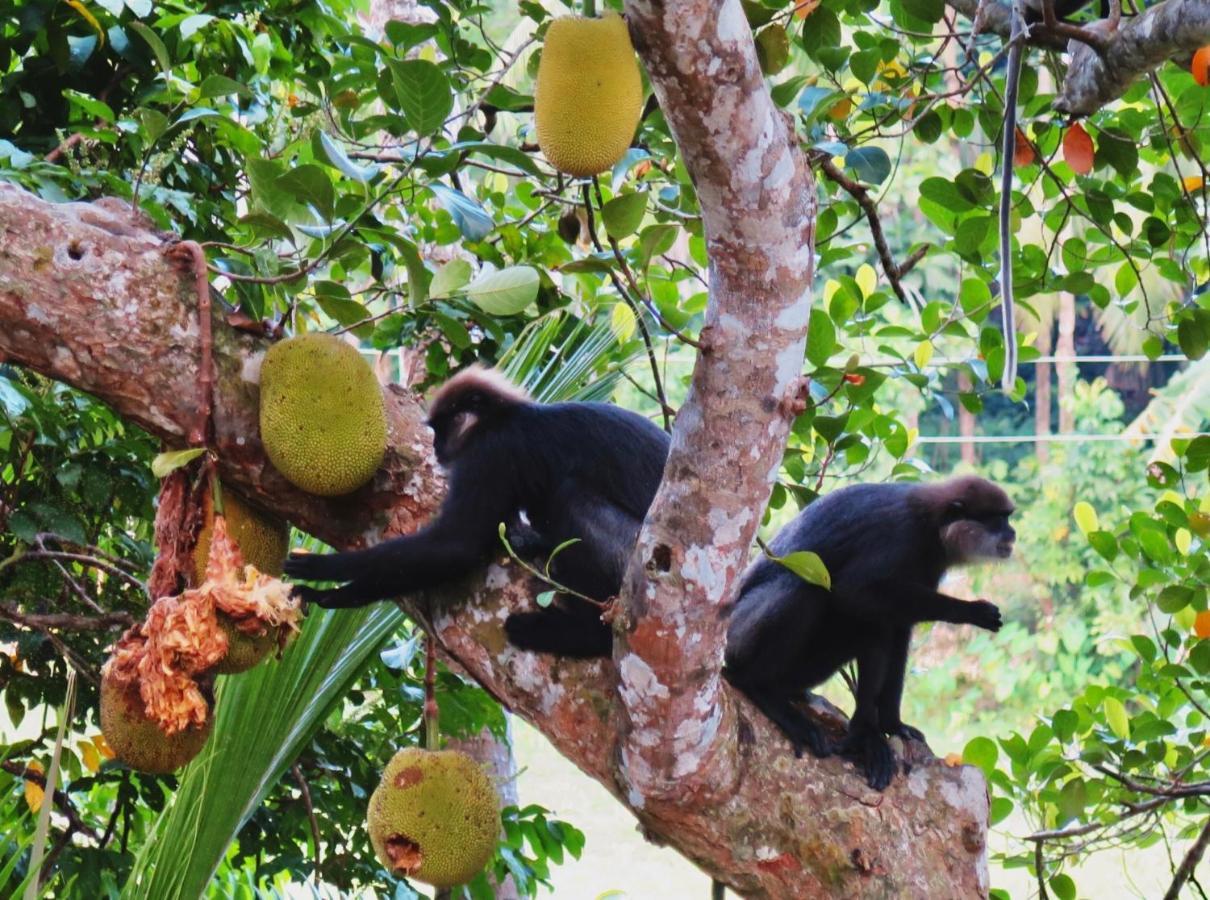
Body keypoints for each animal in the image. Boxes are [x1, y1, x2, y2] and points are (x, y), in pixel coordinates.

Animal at [289, 370, 677, 658]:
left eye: (441, 428)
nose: (435, 447)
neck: (504, 417)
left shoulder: (490, 453)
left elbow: (456, 547)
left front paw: (322, 573)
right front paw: (327, 595)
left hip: (635, 561)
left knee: (570, 498)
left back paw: (581, 634)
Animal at [721, 474, 1016, 788]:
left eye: (1007, 518)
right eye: (999, 519)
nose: (1012, 533)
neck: (932, 526)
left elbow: (898, 626)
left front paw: (893, 724)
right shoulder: (900, 536)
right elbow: (854, 594)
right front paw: (970, 611)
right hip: (738, 635)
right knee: (811, 590)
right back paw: (763, 689)